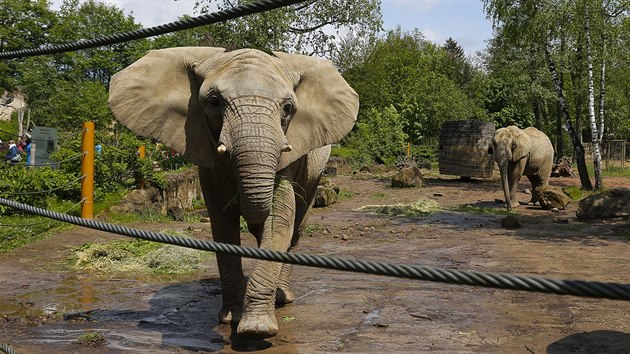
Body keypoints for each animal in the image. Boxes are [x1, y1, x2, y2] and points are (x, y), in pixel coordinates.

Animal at [106, 47, 358, 338]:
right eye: (214, 102)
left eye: (288, 108)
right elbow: (222, 224)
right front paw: (231, 319)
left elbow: (280, 219)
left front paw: (256, 329)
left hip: (316, 170)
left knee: (297, 225)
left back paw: (282, 297)